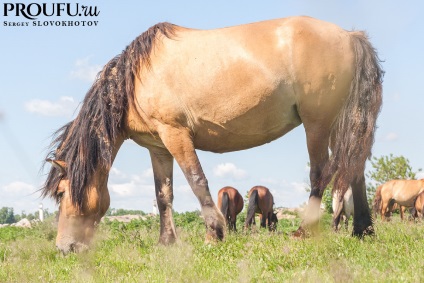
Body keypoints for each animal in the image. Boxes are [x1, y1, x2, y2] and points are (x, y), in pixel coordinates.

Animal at [41, 16, 382, 255]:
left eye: (61, 192)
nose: (64, 248)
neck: (136, 78)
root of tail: (350, 37)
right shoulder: (158, 147)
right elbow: (163, 195)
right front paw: (167, 242)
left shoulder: (176, 135)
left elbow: (197, 181)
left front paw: (213, 234)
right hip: (339, 124)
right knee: (355, 170)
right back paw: (363, 230)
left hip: (318, 124)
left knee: (320, 173)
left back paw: (303, 231)